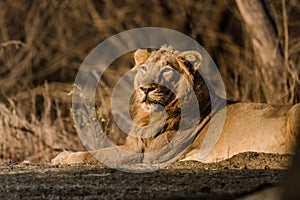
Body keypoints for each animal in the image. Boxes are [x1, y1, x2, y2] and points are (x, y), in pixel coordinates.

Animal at [51, 46, 300, 166]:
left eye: (166, 69)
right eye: (144, 68)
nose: (146, 89)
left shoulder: (145, 155)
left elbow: (96, 153)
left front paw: (62, 158)